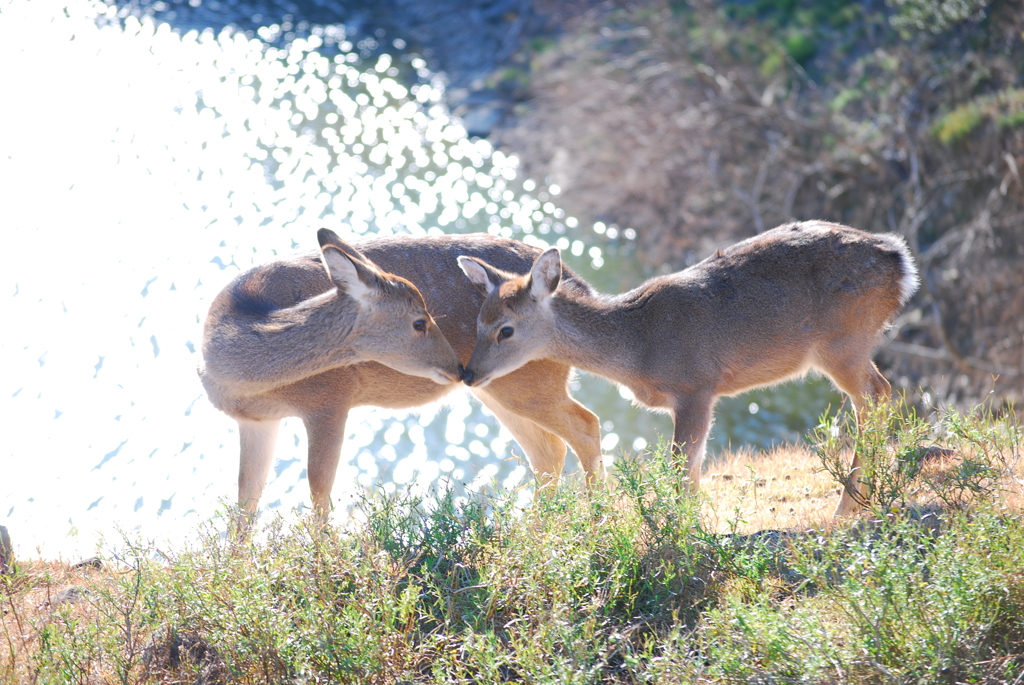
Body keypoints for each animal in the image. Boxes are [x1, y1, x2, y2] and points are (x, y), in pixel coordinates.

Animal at [197, 228, 606, 518]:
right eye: (419, 322)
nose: (455, 367)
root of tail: (582, 286)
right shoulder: (257, 421)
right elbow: (245, 501)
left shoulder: (330, 398)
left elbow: (318, 490)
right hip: (493, 385)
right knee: (548, 451)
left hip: (525, 381)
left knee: (584, 425)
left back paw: (597, 518)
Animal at [456, 219, 921, 511]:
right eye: (476, 322)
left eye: (506, 330)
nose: (469, 373)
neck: (638, 347)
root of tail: (901, 261)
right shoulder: (697, 395)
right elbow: (693, 470)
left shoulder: (696, 384)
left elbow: (682, 468)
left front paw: (678, 535)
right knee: (878, 396)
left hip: (842, 342)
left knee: (876, 396)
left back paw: (848, 507)